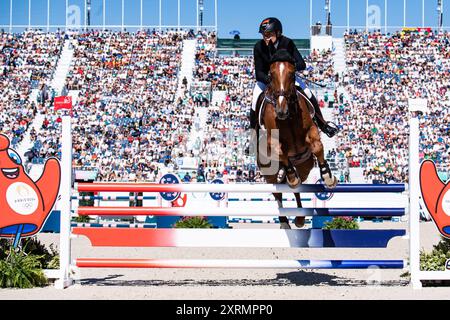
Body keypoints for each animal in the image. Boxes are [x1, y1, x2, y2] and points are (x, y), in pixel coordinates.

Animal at [255, 48, 336, 229]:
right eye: (271, 74)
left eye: (292, 74)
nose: (281, 111)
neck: (289, 116)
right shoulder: (273, 141)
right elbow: (281, 152)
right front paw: (292, 177)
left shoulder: (311, 131)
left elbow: (317, 147)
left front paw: (327, 176)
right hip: (269, 171)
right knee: (278, 192)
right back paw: (285, 221)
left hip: (305, 166)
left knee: (298, 188)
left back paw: (299, 218)